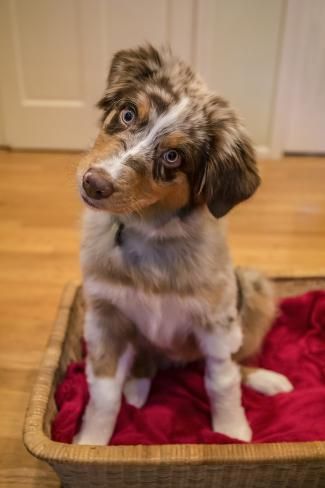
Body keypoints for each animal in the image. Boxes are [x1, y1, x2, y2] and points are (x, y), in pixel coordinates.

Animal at [74, 45, 292, 446]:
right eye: (128, 114)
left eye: (172, 156)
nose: (94, 183)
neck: (149, 233)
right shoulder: (104, 317)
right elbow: (104, 390)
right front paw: (91, 443)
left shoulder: (217, 322)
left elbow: (222, 381)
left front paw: (232, 433)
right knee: (143, 361)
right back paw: (138, 387)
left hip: (254, 290)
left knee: (239, 363)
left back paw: (266, 379)